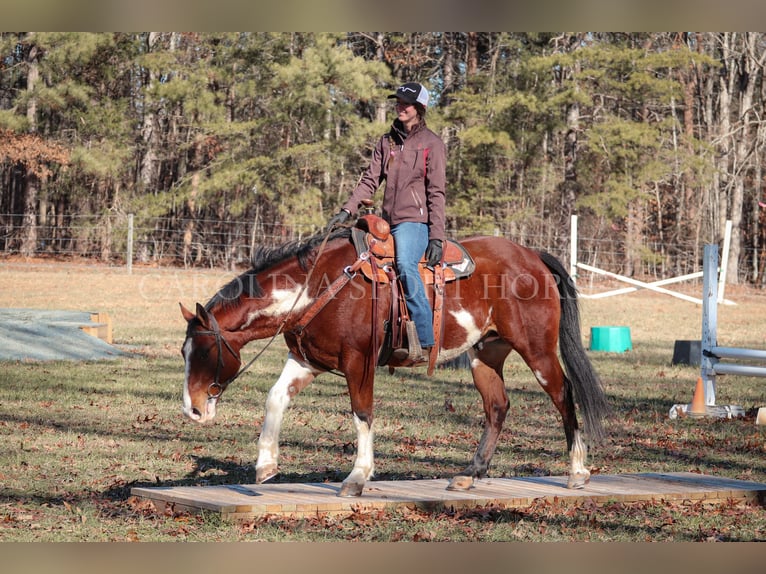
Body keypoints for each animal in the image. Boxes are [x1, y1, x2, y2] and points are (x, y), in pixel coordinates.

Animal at [182, 225, 612, 500]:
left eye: (203, 351)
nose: (193, 409)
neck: (317, 287)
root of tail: (531, 256)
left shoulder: (359, 362)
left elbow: (362, 413)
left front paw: (357, 477)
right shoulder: (306, 360)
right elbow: (275, 398)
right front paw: (266, 465)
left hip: (537, 351)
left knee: (563, 394)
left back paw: (577, 472)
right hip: (485, 353)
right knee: (497, 406)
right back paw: (470, 475)